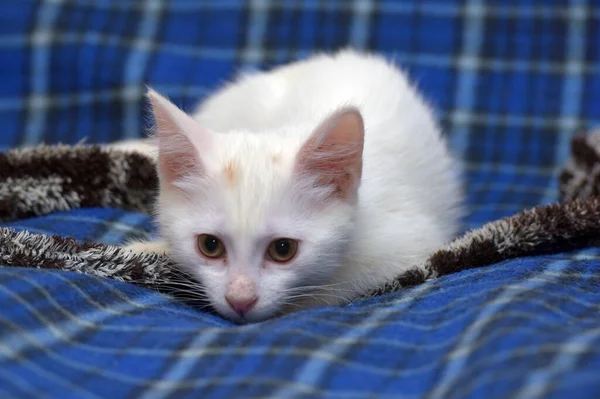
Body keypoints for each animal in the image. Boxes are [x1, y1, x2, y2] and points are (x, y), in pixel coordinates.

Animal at [122, 50, 464, 324]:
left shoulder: (407, 245)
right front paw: (147, 249)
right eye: (210, 245)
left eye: (283, 249)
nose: (240, 300)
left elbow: (335, 289)